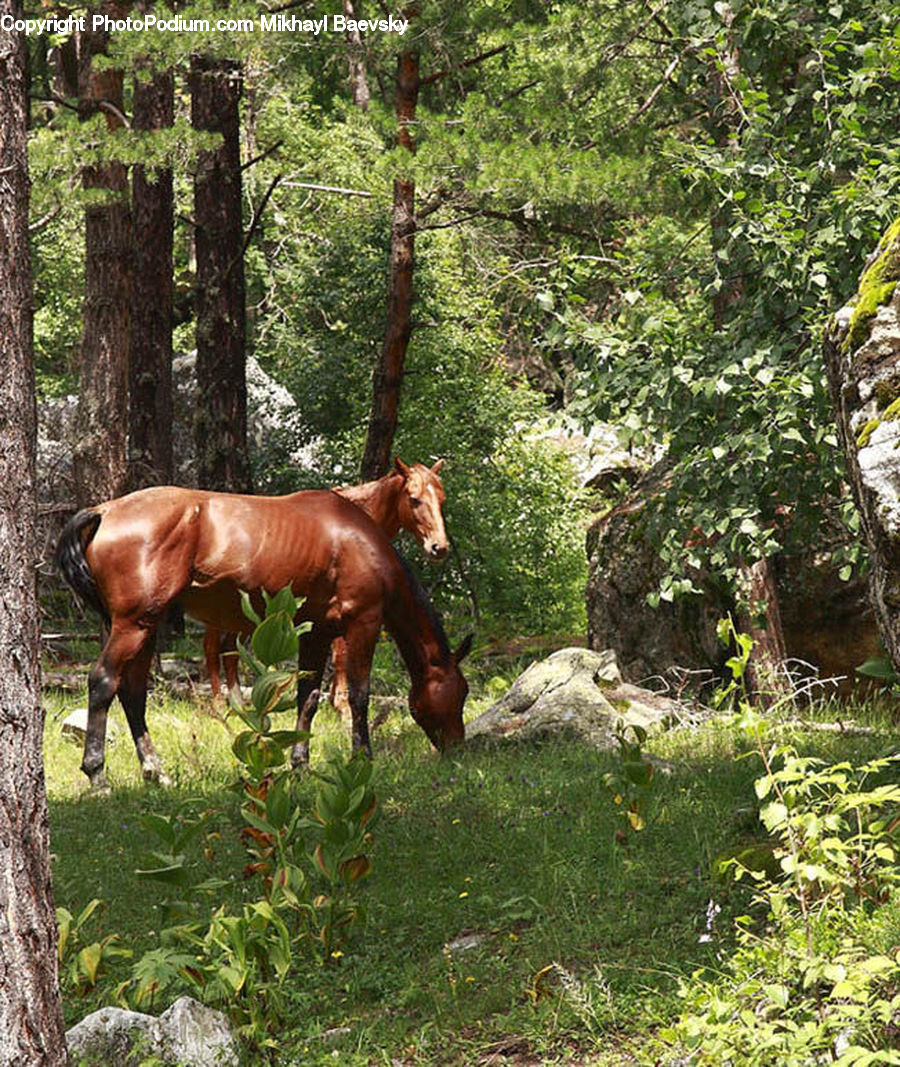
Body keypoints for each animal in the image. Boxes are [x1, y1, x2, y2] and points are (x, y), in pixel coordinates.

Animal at [55, 486, 471, 791]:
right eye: (462, 692)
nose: (458, 747)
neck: (359, 541)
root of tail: (105, 510)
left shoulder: (317, 634)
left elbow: (308, 699)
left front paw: (301, 765)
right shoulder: (363, 622)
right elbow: (358, 694)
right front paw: (362, 758)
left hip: (146, 626)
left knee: (133, 692)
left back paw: (156, 772)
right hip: (133, 624)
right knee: (104, 682)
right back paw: (97, 775)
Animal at [204, 458, 449, 703]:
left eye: (442, 499)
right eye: (414, 499)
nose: (439, 547)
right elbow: (341, 658)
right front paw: (341, 705)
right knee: (216, 649)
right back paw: (222, 704)